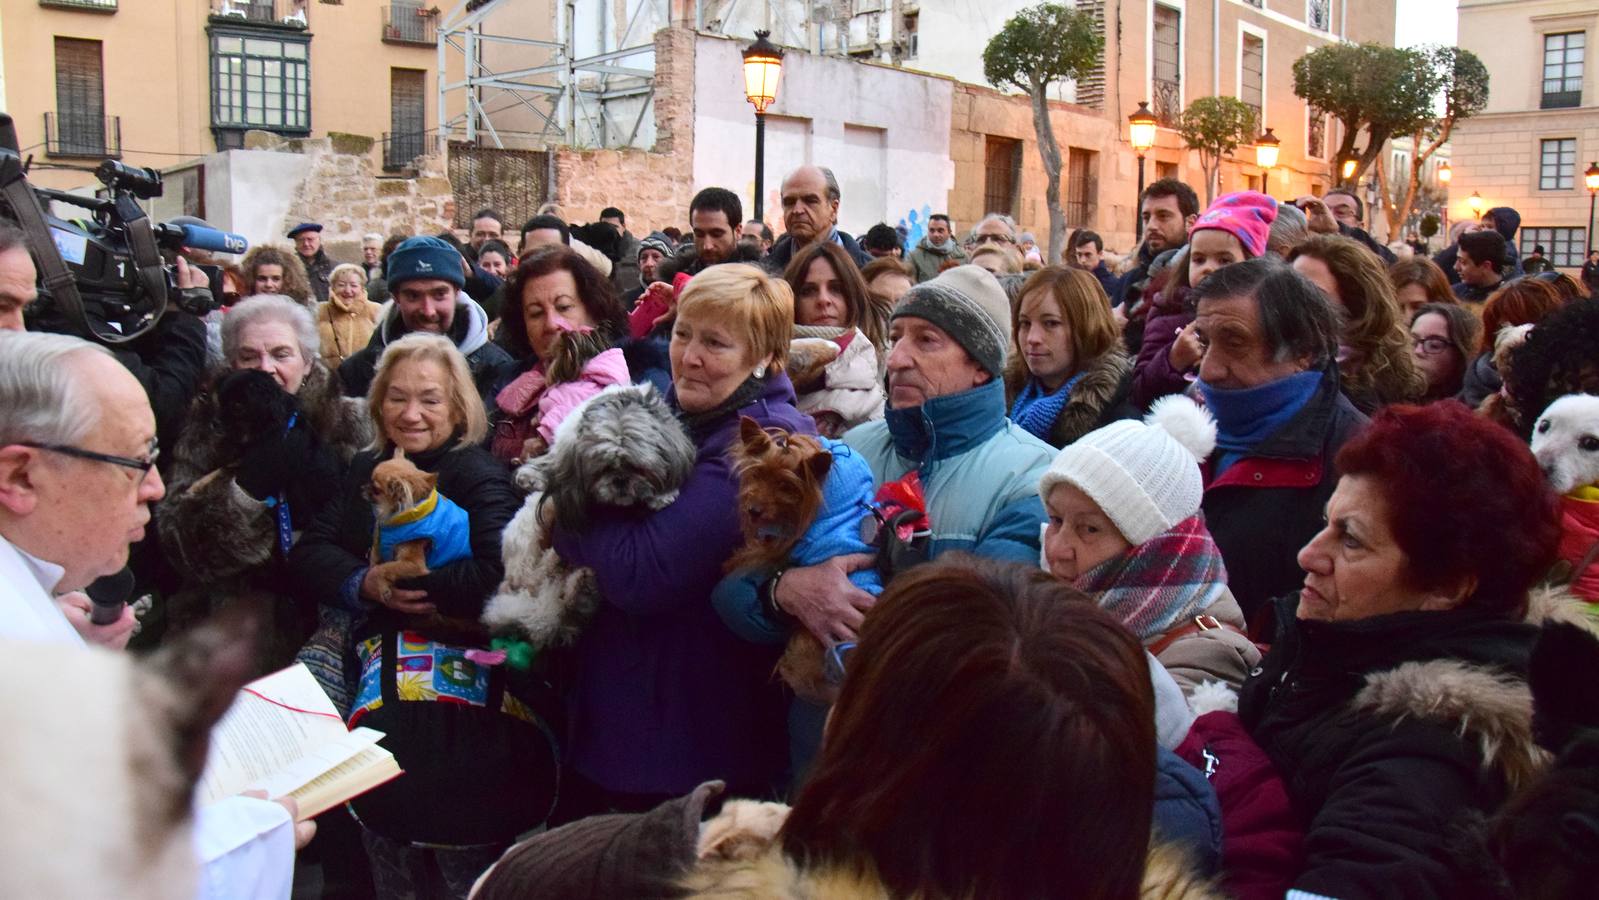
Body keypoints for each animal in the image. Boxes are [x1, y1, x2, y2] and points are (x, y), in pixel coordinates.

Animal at [479, 383, 693, 652]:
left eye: (638, 467)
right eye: (602, 469)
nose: (620, 481)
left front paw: (663, 495)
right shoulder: (565, 449)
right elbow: (551, 469)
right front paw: (533, 477)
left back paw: (581, 588)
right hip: (524, 538)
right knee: (534, 577)